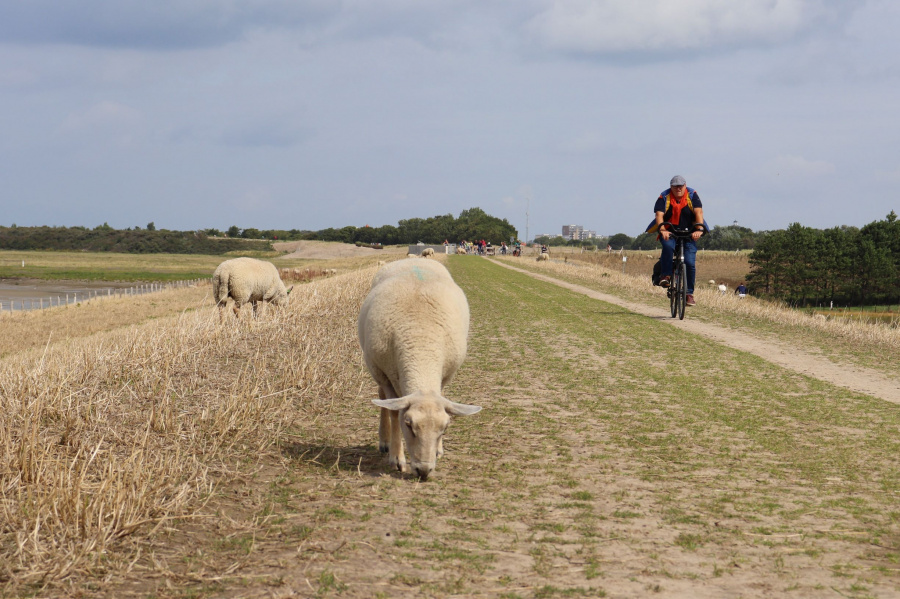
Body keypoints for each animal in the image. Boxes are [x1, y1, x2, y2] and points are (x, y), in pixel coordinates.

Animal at [360, 260, 486, 480]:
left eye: (445, 428)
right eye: (409, 424)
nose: (424, 471)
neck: (421, 342)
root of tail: (413, 259)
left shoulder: (445, 375)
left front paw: (439, 450)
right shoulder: (384, 374)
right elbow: (394, 413)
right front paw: (397, 458)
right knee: (382, 399)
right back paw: (384, 441)